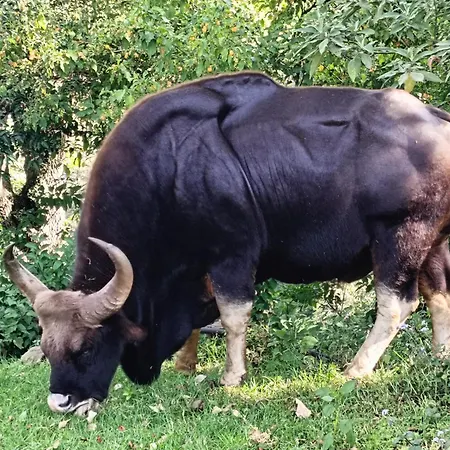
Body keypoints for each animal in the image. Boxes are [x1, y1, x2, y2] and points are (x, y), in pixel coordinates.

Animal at [4, 71, 450, 416]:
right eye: (46, 347)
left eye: (86, 347)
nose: (61, 402)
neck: (168, 169)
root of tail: (437, 121)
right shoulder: (197, 266)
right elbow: (201, 316)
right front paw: (185, 365)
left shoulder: (232, 256)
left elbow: (232, 315)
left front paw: (232, 376)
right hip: (433, 242)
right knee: (439, 295)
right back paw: (439, 356)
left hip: (399, 237)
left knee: (397, 304)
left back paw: (357, 369)